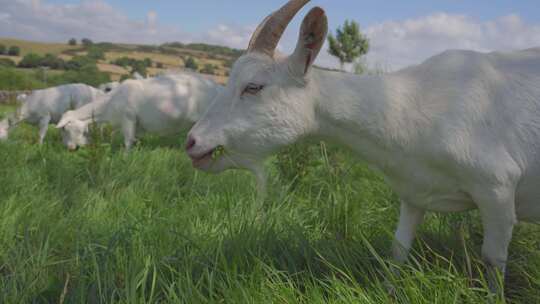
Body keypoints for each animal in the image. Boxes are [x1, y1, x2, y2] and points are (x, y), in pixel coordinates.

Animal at [186, 0, 540, 296]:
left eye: (254, 87)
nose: (192, 142)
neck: (411, 105)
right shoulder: (415, 192)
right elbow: (398, 250)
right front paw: (389, 290)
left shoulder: (497, 189)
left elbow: (493, 258)